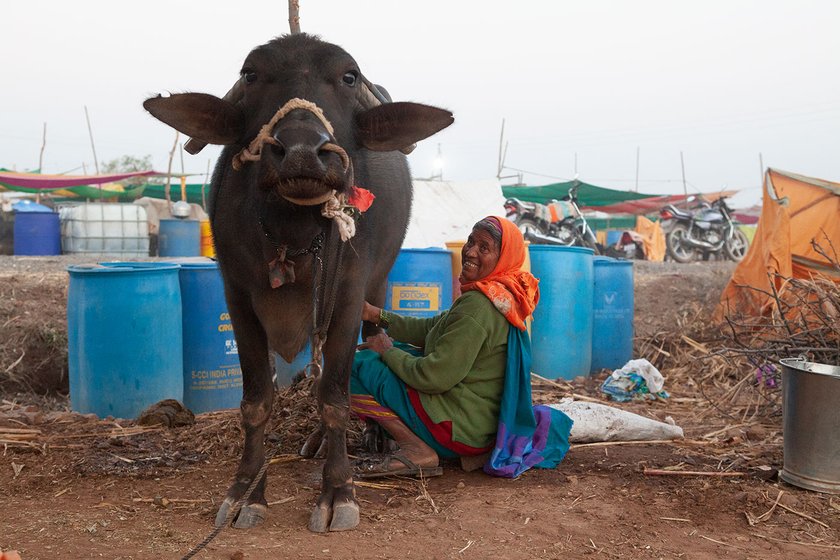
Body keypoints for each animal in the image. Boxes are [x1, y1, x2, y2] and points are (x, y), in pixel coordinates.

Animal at [143, 32, 452, 532]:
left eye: (349, 77)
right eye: (251, 74)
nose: (303, 151)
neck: (293, 233)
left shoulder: (347, 298)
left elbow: (336, 398)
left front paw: (338, 492)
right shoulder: (238, 298)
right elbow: (256, 401)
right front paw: (245, 493)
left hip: (378, 286)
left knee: (370, 346)